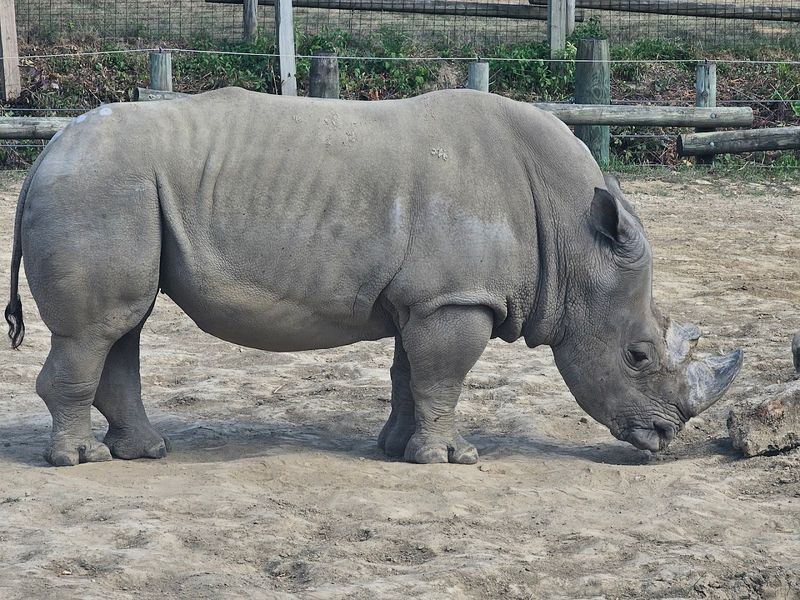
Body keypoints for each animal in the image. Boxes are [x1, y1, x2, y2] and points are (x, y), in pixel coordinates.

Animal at [5, 88, 742, 467]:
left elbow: (411, 373)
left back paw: (146, 452)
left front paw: (396, 449)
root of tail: (47, 152)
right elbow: (444, 375)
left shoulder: (428, 299)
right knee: (100, 328)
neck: (573, 237)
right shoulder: (455, 299)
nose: (664, 441)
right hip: (99, 186)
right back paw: (82, 462)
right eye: (637, 355)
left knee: (123, 323)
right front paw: (452, 459)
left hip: (109, 187)